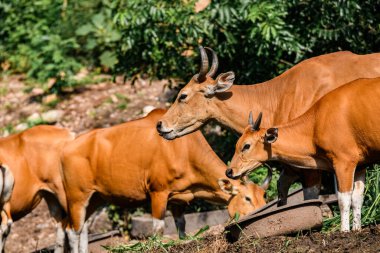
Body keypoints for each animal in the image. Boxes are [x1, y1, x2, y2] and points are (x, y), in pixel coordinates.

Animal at [61, 109, 270, 253]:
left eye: (264, 197)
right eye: (247, 198)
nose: (260, 211)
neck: (183, 148)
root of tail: (67, 149)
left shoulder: (179, 199)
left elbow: (182, 228)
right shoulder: (158, 192)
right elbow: (158, 229)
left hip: (95, 198)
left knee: (82, 229)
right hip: (76, 197)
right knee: (72, 230)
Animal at [156, 46, 380, 206]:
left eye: (183, 95)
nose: (160, 125)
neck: (281, 95)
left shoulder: (314, 164)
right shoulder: (292, 162)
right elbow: (281, 189)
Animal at [226, 77, 380, 231]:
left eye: (246, 146)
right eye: (237, 144)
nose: (229, 171)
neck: (315, 124)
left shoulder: (344, 162)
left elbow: (343, 200)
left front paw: (344, 231)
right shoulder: (360, 165)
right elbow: (357, 199)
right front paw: (356, 229)